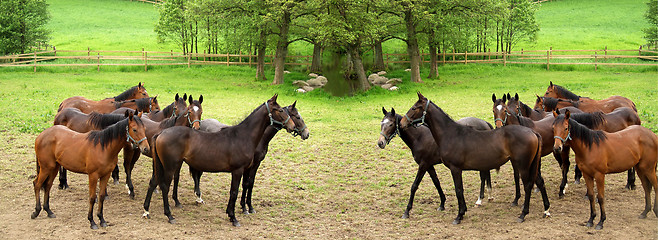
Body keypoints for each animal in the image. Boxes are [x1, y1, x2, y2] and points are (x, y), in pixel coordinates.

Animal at [144, 94, 294, 227]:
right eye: (280, 110)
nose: (292, 126)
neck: (243, 136)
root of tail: (161, 133)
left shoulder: (246, 169)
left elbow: (241, 188)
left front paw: (233, 213)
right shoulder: (238, 171)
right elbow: (234, 192)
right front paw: (234, 218)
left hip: (161, 166)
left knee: (153, 182)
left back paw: (146, 211)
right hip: (169, 167)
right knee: (164, 186)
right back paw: (169, 215)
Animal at [400, 92, 548, 225]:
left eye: (414, 108)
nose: (402, 123)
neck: (450, 134)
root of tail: (533, 132)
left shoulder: (455, 169)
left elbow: (458, 190)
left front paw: (459, 216)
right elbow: (459, 189)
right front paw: (463, 211)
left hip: (523, 166)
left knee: (528, 186)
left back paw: (523, 214)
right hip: (530, 165)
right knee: (539, 181)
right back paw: (546, 210)